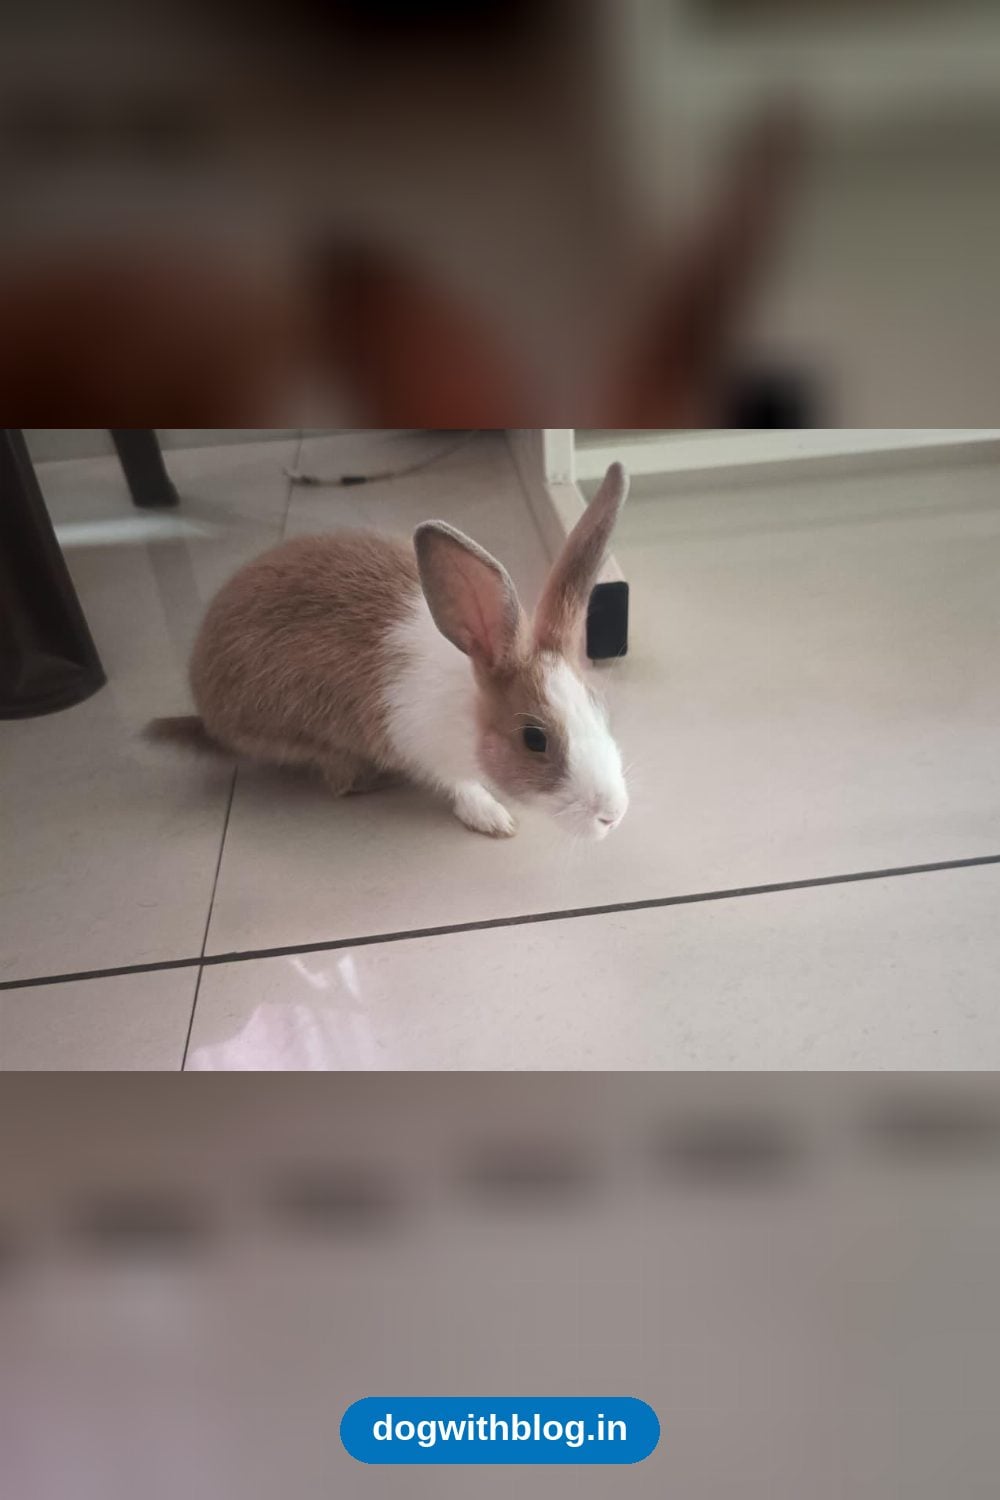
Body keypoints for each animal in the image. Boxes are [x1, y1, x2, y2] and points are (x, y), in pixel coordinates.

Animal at [150, 461, 630, 840]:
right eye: (534, 739)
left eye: (599, 707)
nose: (613, 816)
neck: (469, 711)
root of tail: (206, 718)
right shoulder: (426, 751)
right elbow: (460, 786)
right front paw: (493, 818)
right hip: (308, 738)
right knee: (340, 782)